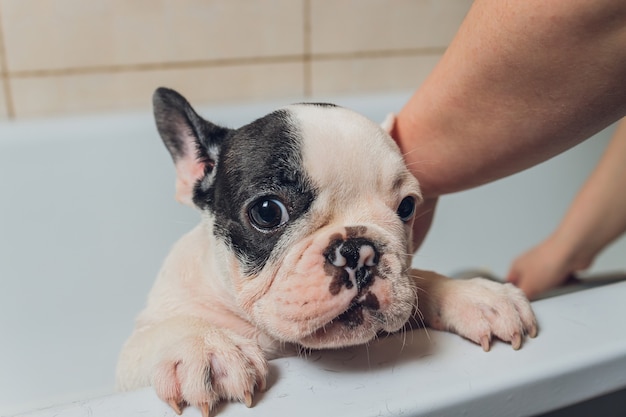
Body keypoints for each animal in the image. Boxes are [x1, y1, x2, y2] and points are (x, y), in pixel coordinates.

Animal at [117, 86, 536, 414]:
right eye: (267, 211)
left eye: (407, 207)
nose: (358, 251)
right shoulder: (132, 360)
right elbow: (166, 329)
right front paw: (204, 347)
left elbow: (417, 281)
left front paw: (475, 295)